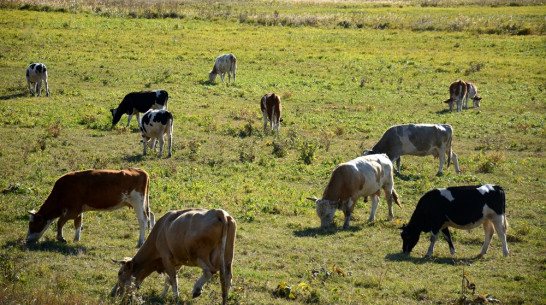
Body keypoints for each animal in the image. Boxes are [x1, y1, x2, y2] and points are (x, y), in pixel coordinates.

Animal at [27, 167, 155, 248]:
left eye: (32, 224)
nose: (27, 240)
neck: (62, 190)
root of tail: (140, 170)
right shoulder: (79, 210)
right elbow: (78, 223)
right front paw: (76, 240)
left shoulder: (73, 209)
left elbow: (60, 221)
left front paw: (61, 238)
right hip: (143, 202)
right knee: (150, 215)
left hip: (137, 201)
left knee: (143, 220)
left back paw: (140, 243)